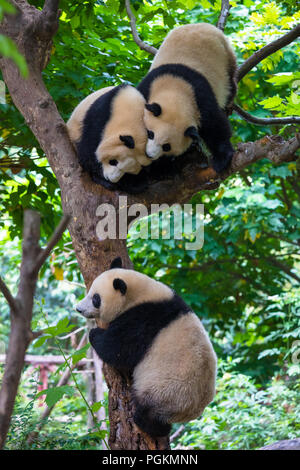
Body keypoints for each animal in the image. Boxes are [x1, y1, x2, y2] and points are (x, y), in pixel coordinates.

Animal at [67, 22, 237, 194]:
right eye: (150, 133)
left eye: (167, 146)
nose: (150, 154)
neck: (175, 90)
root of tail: (201, 25)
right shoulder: (140, 90)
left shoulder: (200, 97)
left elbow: (215, 126)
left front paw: (221, 159)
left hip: (225, 54)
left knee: (230, 81)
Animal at [74, 258, 216, 436]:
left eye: (95, 298)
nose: (78, 309)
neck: (140, 295)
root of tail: (193, 411)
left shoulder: (143, 319)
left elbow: (118, 349)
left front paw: (94, 333)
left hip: (165, 391)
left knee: (148, 411)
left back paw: (149, 424)